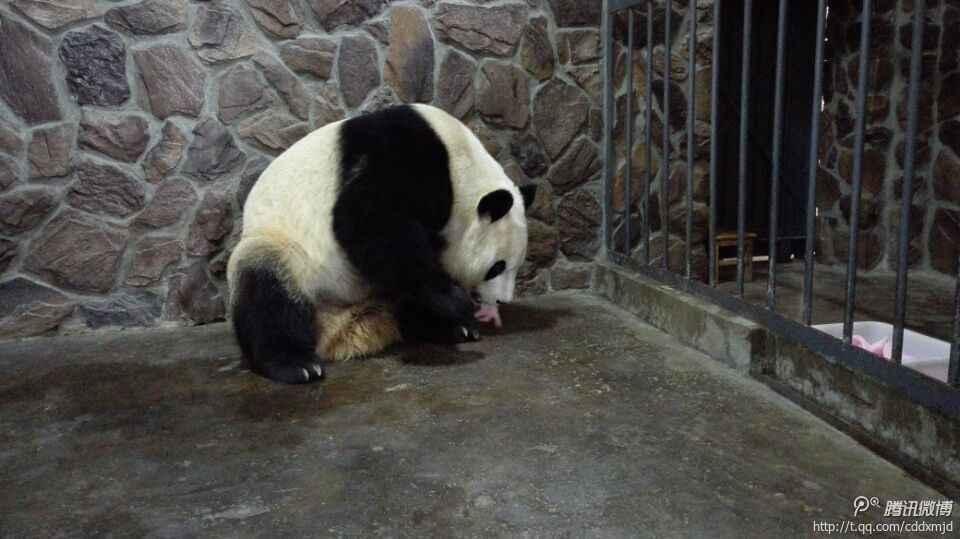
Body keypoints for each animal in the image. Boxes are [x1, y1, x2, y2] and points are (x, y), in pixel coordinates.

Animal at [228, 103, 536, 386]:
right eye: (497, 267)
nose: (502, 301)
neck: (460, 168)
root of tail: (340, 329)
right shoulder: (399, 158)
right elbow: (367, 222)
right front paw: (456, 302)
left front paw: (456, 315)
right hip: (287, 250)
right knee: (268, 291)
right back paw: (296, 364)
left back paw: (445, 328)